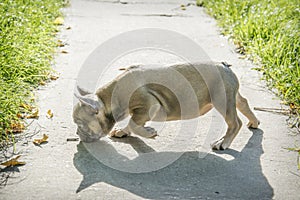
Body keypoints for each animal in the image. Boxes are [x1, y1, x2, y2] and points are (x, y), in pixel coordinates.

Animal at [72, 62, 258, 150]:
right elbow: (132, 123)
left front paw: (149, 133)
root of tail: (225, 66)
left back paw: (223, 143)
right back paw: (254, 122)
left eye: (80, 124)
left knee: (235, 123)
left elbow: (134, 122)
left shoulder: (148, 106)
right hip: (230, 95)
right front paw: (123, 131)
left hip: (222, 99)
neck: (108, 98)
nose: (77, 134)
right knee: (243, 102)